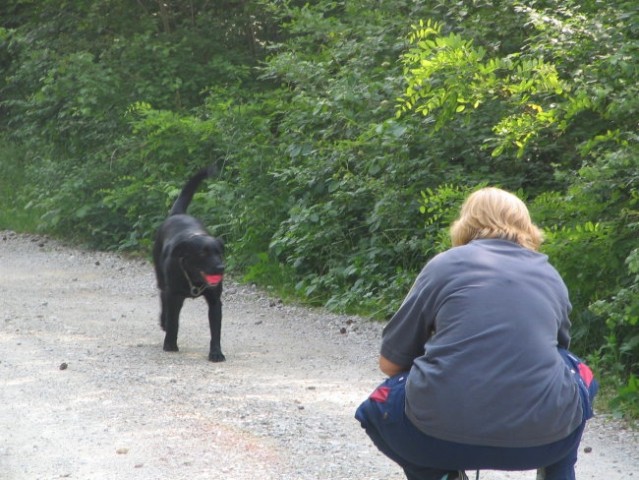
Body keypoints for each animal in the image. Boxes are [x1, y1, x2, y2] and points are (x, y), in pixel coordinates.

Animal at [153, 167, 228, 362]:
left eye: (219, 252)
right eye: (203, 253)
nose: (221, 268)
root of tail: (177, 213)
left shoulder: (215, 302)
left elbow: (216, 331)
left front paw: (216, 353)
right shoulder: (174, 295)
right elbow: (174, 321)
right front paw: (170, 344)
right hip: (162, 279)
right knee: (163, 297)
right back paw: (164, 322)